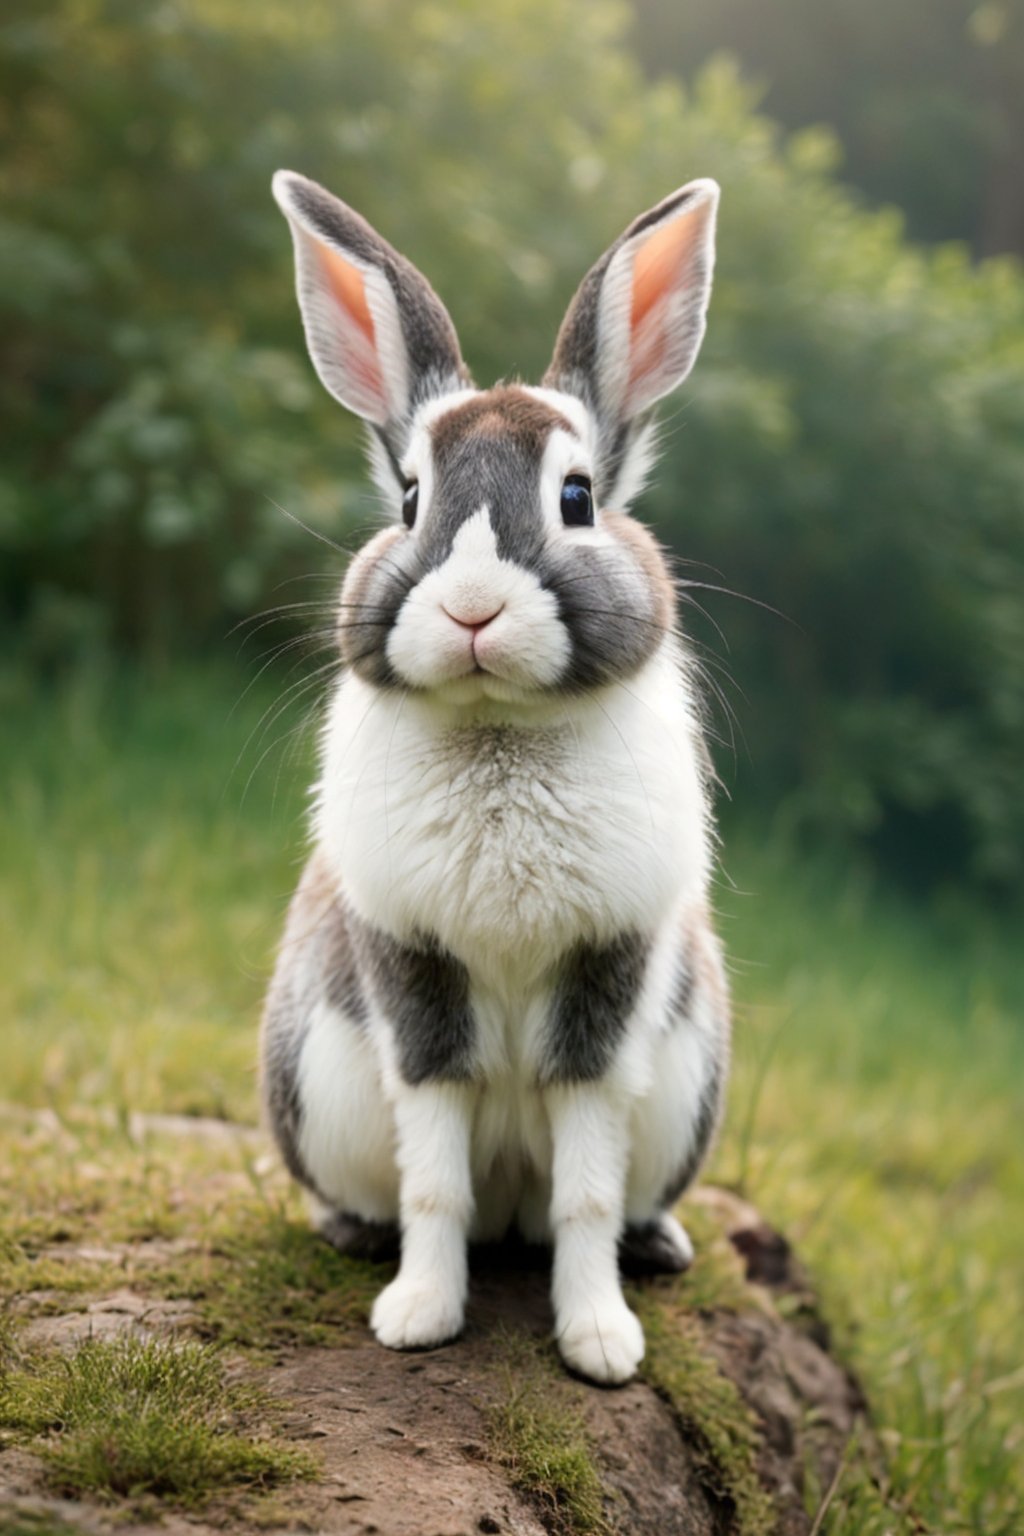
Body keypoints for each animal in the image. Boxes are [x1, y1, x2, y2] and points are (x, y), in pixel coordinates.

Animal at [262, 162, 727, 1388]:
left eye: (577, 499)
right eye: (409, 501)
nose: (472, 609)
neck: (498, 729)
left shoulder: (606, 979)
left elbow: (584, 1188)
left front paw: (602, 1343)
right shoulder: (413, 976)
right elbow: (434, 1173)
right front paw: (417, 1315)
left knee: (605, 1201)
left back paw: (660, 1248)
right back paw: (351, 1234)